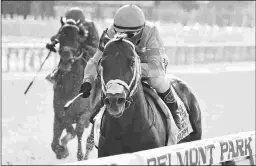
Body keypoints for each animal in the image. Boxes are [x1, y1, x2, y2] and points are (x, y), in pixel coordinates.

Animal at [50, 16, 101, 160]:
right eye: (60, 36)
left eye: (77, 38)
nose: (66, 60)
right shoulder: (58, 112)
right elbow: (56, 140)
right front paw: (61, 150)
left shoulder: (85, 113)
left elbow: (77, 130)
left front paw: (78, 154)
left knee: (89, 139)